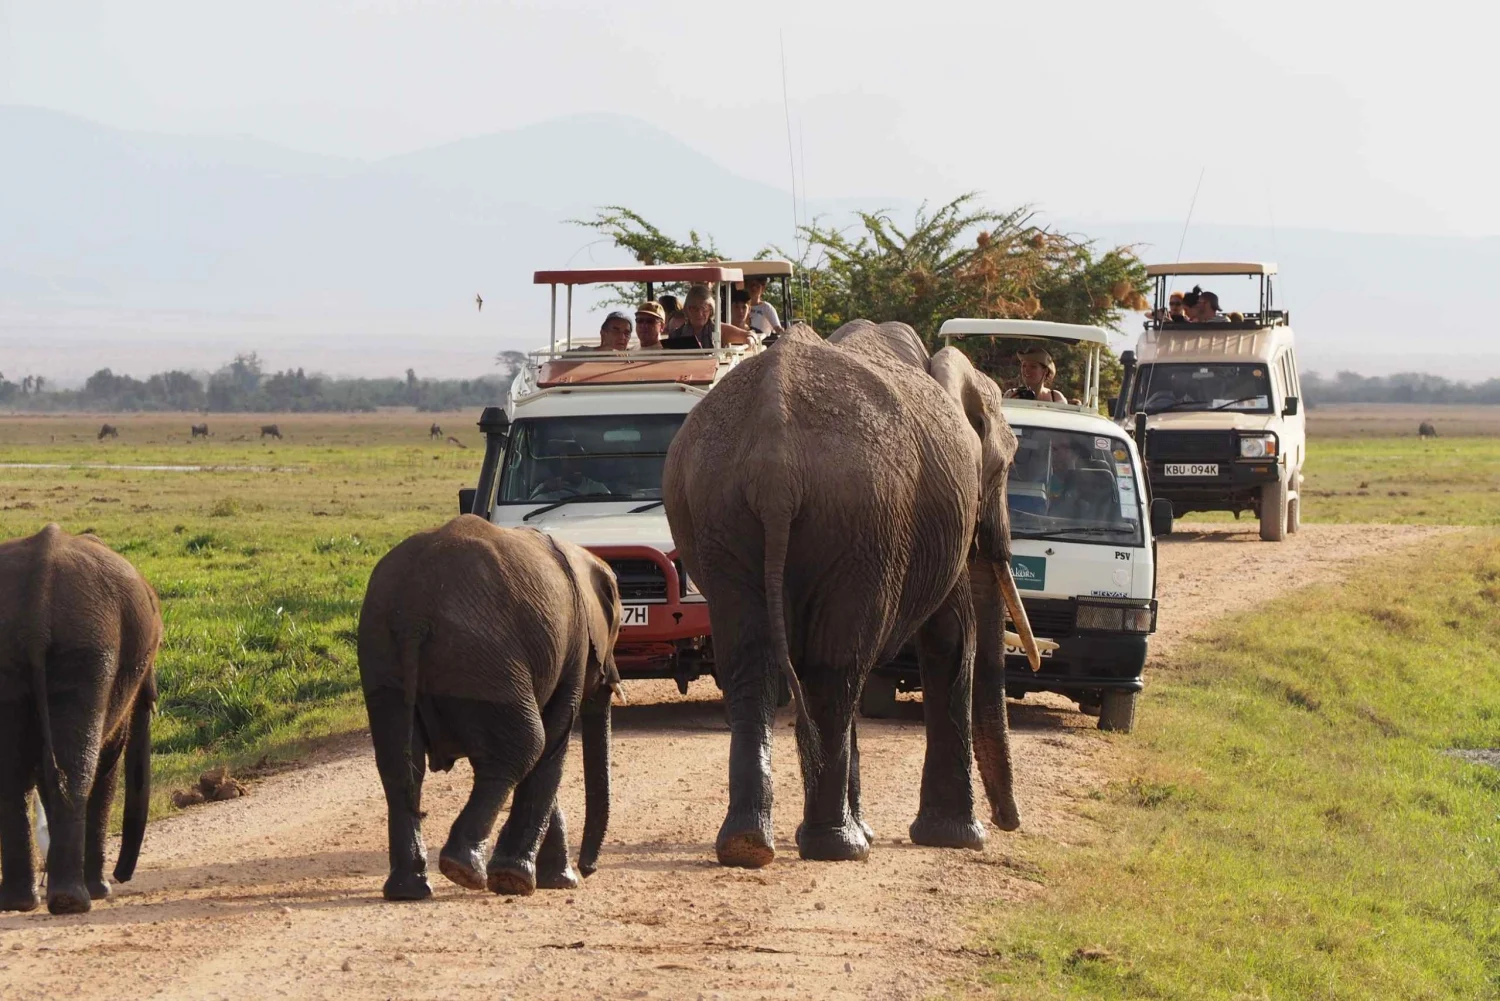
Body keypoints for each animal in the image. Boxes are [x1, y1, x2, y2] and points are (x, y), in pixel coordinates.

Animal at [0, 525, 161, 918]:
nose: (122, 876)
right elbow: (108, 760)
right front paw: (102, 891)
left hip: (23, 649)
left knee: (16, 773)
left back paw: (23, 902)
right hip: (89, 650)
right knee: (77, 769)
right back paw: (74, 901)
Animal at [357, 516, 621, 900]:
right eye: (617, 630)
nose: (588, 870)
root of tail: (413, 613)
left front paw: (556, 880)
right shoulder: (573, 648)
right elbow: (552, 744)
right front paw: (525, 880)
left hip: (382, 652)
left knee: (399, 764)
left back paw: (409, 890)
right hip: (484, 658)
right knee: (527, 745)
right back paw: (465, 871)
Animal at [669, 321, 1044, 870]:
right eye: (1005, 467)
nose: (1009, 823)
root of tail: (775, 464)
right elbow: (952, 639)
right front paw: (959, 838)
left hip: (722, 513)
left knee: (752, 663)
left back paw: (750, 846)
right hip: (861, 521)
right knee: (837, 669)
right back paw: (837, 847)